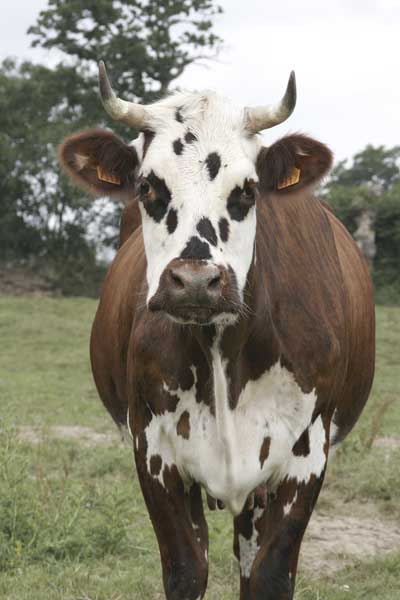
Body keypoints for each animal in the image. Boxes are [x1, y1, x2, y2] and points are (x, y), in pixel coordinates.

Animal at [59, 62, 376, 600]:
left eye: (247, 190)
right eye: (148, 187)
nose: (195, 281)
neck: (223, 346)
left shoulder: (307, 453)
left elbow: (269, 576)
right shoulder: (155, 452)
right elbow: (186, 571)